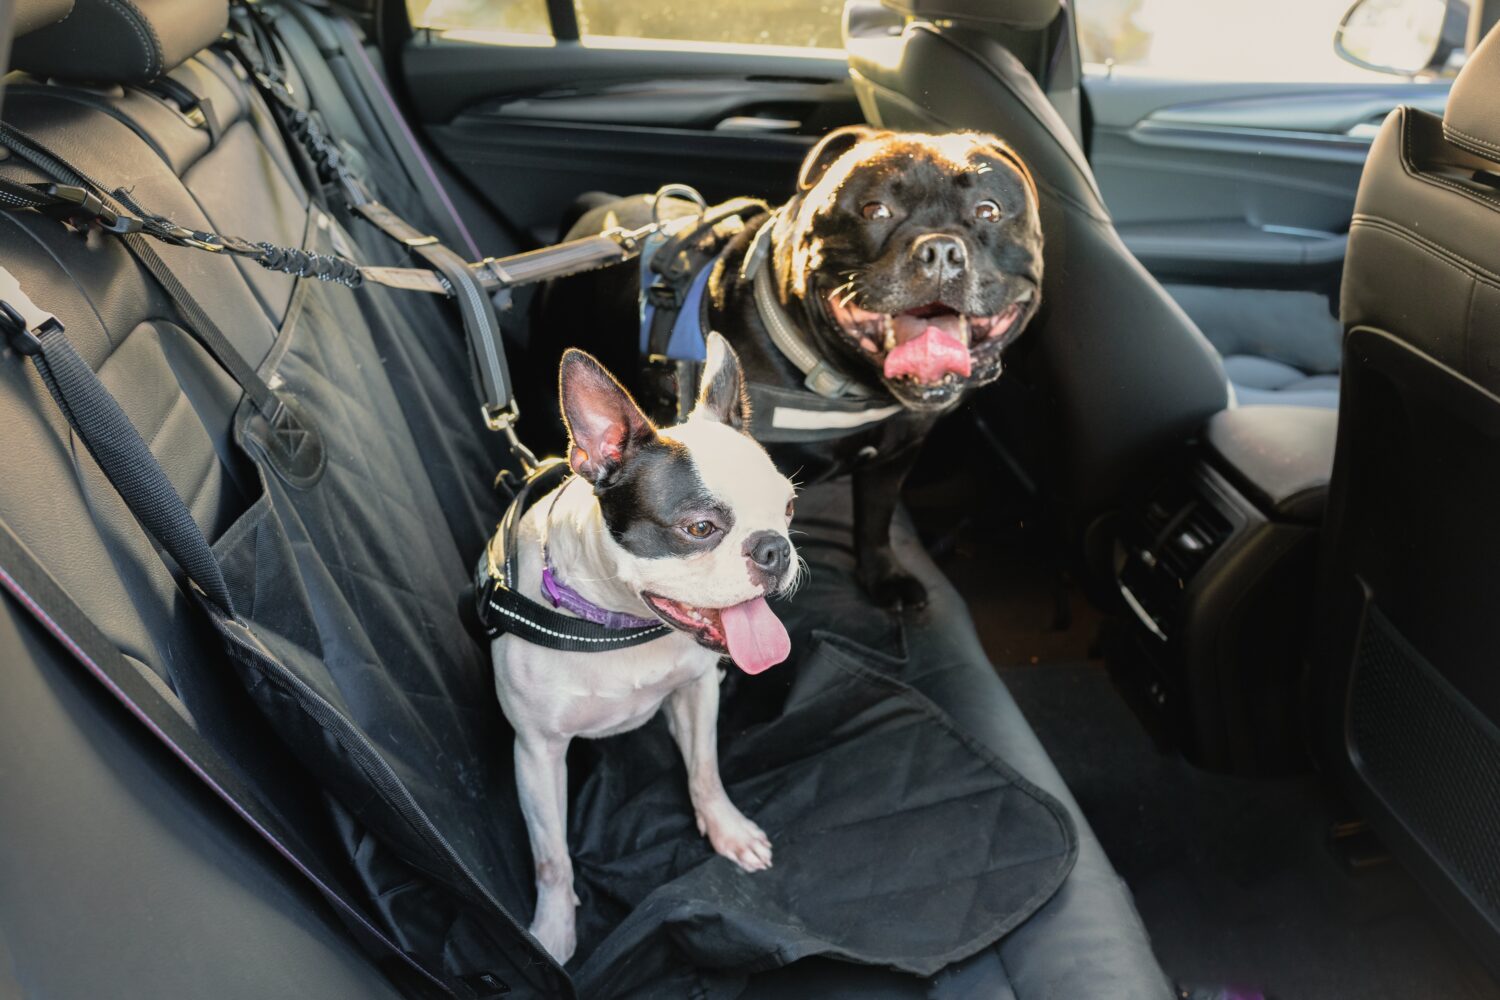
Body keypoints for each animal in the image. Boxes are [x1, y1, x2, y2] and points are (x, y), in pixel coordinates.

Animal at [489, 334, 798, 959]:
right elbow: (552, 857)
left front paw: (726, 830)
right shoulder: (536, 753)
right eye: (700, 529)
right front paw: (553, 932)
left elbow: (704, 770)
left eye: (788, 508)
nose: (775, 547)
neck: (618, 625)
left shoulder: (698, 692)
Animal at [531, 128, 1044, 605]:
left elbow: (876, 518)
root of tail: (598, 211)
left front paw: (884, 576)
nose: (939, 250)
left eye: (989, 211)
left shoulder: (895, 457)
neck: (853, 384)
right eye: (875, 211)